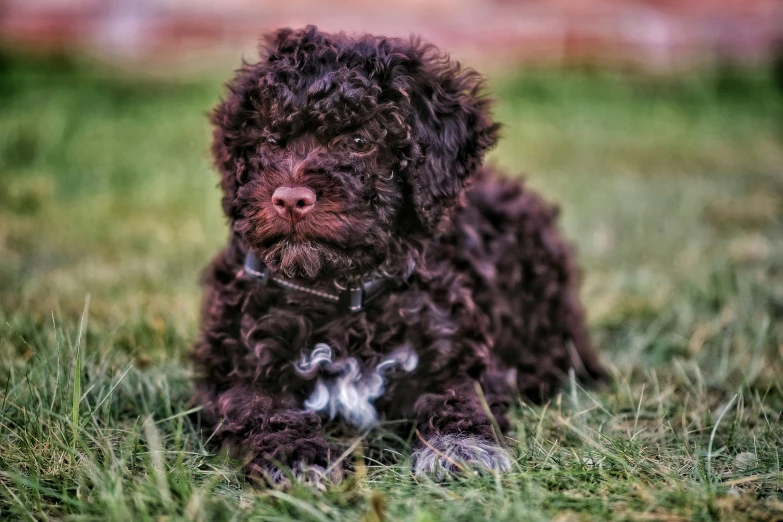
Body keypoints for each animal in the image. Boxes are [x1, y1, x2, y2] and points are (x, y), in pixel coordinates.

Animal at [191, 26, 608, 484]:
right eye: (269, 140)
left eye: (359, 142)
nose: (289, 200)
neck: (341, 292)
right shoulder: (235, 366)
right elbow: (263, 410)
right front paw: (297, 458)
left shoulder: (455, 351)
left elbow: (458, 397)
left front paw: (460, 449)